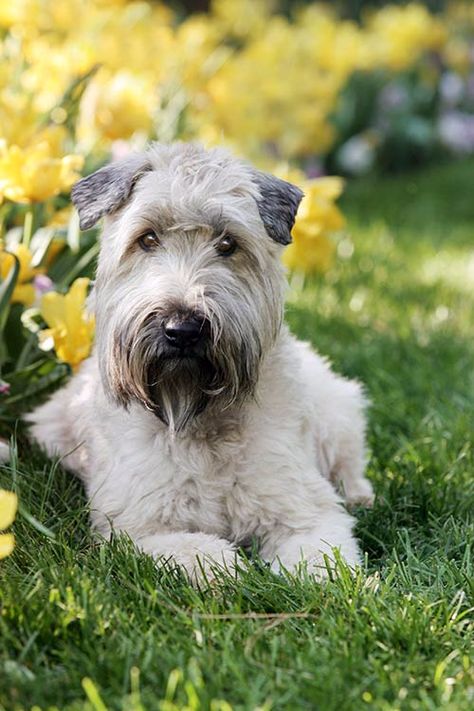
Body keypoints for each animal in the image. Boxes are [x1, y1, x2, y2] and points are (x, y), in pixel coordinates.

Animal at [28, 142, 374, 580]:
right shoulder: (137, 529)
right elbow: (202, 553)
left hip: (336, 407)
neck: (197, 417)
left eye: (227, 244)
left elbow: (323, 562)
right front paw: (233, 572)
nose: (183, 329)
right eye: (148, 238)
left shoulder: (302, 509)